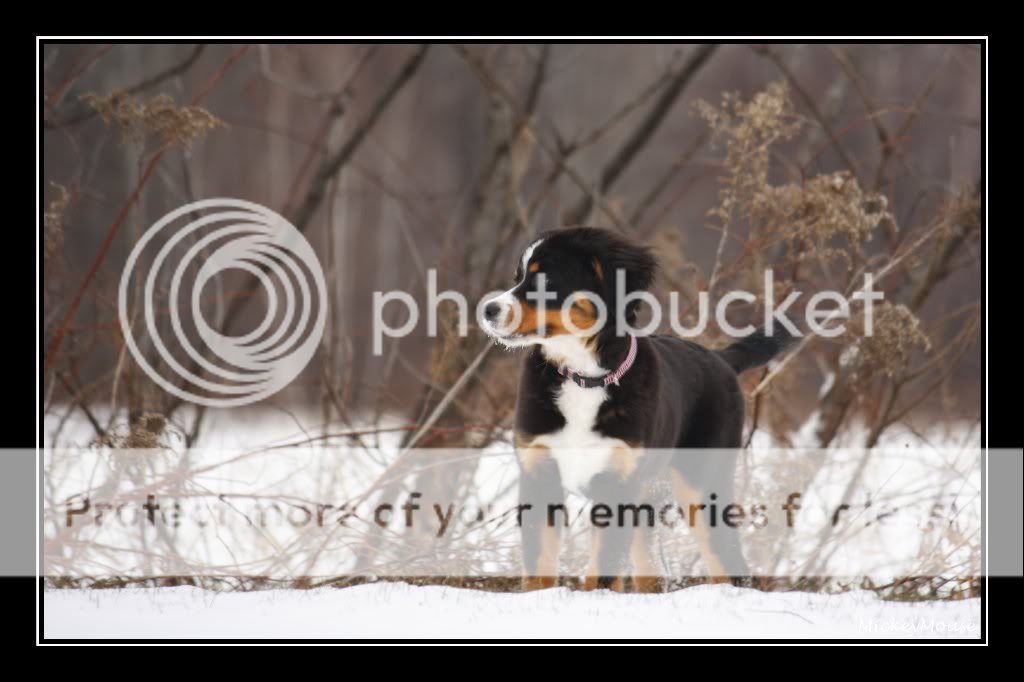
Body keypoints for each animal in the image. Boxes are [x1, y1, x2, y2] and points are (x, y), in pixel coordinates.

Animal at [479, 225, 790, 585]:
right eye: (517, 277)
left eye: (545, 280)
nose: (487, 310)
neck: (583, 377)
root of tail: (720, 357)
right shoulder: (539, 472)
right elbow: (539, 568)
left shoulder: (617, 482)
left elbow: (602, 570)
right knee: (650, 572)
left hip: (703, 481)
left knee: (726, 561)